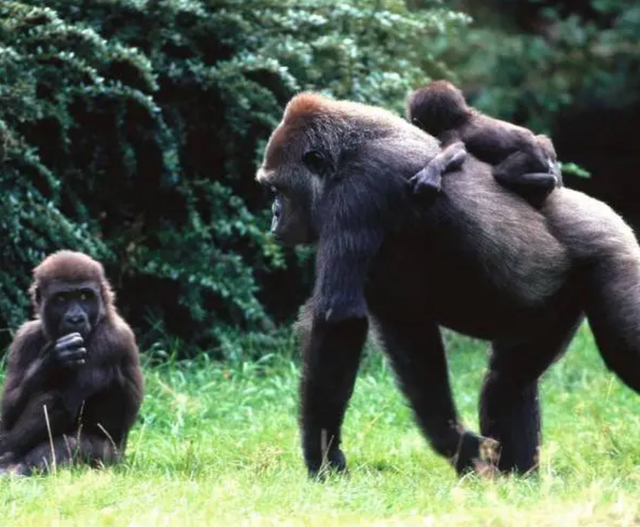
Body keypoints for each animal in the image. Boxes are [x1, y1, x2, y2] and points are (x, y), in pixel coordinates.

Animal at [0, 251, 144, 474]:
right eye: (61, 299)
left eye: (85, 296)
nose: (76, 319)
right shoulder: (24, 337)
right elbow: (8, 410)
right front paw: (51, 360)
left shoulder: (109, 340)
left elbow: (63, 406)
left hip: (111, 462)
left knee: (68, 440)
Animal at [255, 93, 640, 480]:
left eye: (277, 189)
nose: (274, 215)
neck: (346, 153)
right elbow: (414, 347)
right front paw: (458, 445)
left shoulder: (357, 190)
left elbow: (339, 320)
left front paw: (324, 458)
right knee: (507, 381)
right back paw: (519, 476)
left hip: (613, 252)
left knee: (624, 351)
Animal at [410, 79, 560, 205]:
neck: (462, 118)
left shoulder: (449, 132)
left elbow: (456, 150)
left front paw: (432, 170)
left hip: (533, 157)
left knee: (502, 173)